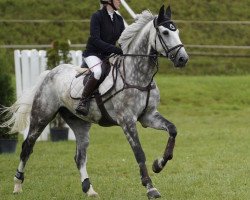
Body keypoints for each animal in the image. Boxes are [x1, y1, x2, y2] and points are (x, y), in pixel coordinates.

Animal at [0, 5, 188, 199]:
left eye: (177, 31)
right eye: (165, 32)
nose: (183, 59)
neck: (139, 75)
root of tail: (50, 72)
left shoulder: (148, 116)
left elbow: (172, 129)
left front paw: (158, 164)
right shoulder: (127, 121)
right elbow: (139, 153)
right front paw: (150, 187)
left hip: (79, 123)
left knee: (80, 156)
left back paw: (89, 189)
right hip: (41, 116)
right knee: (27, 147)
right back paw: (17, 185)